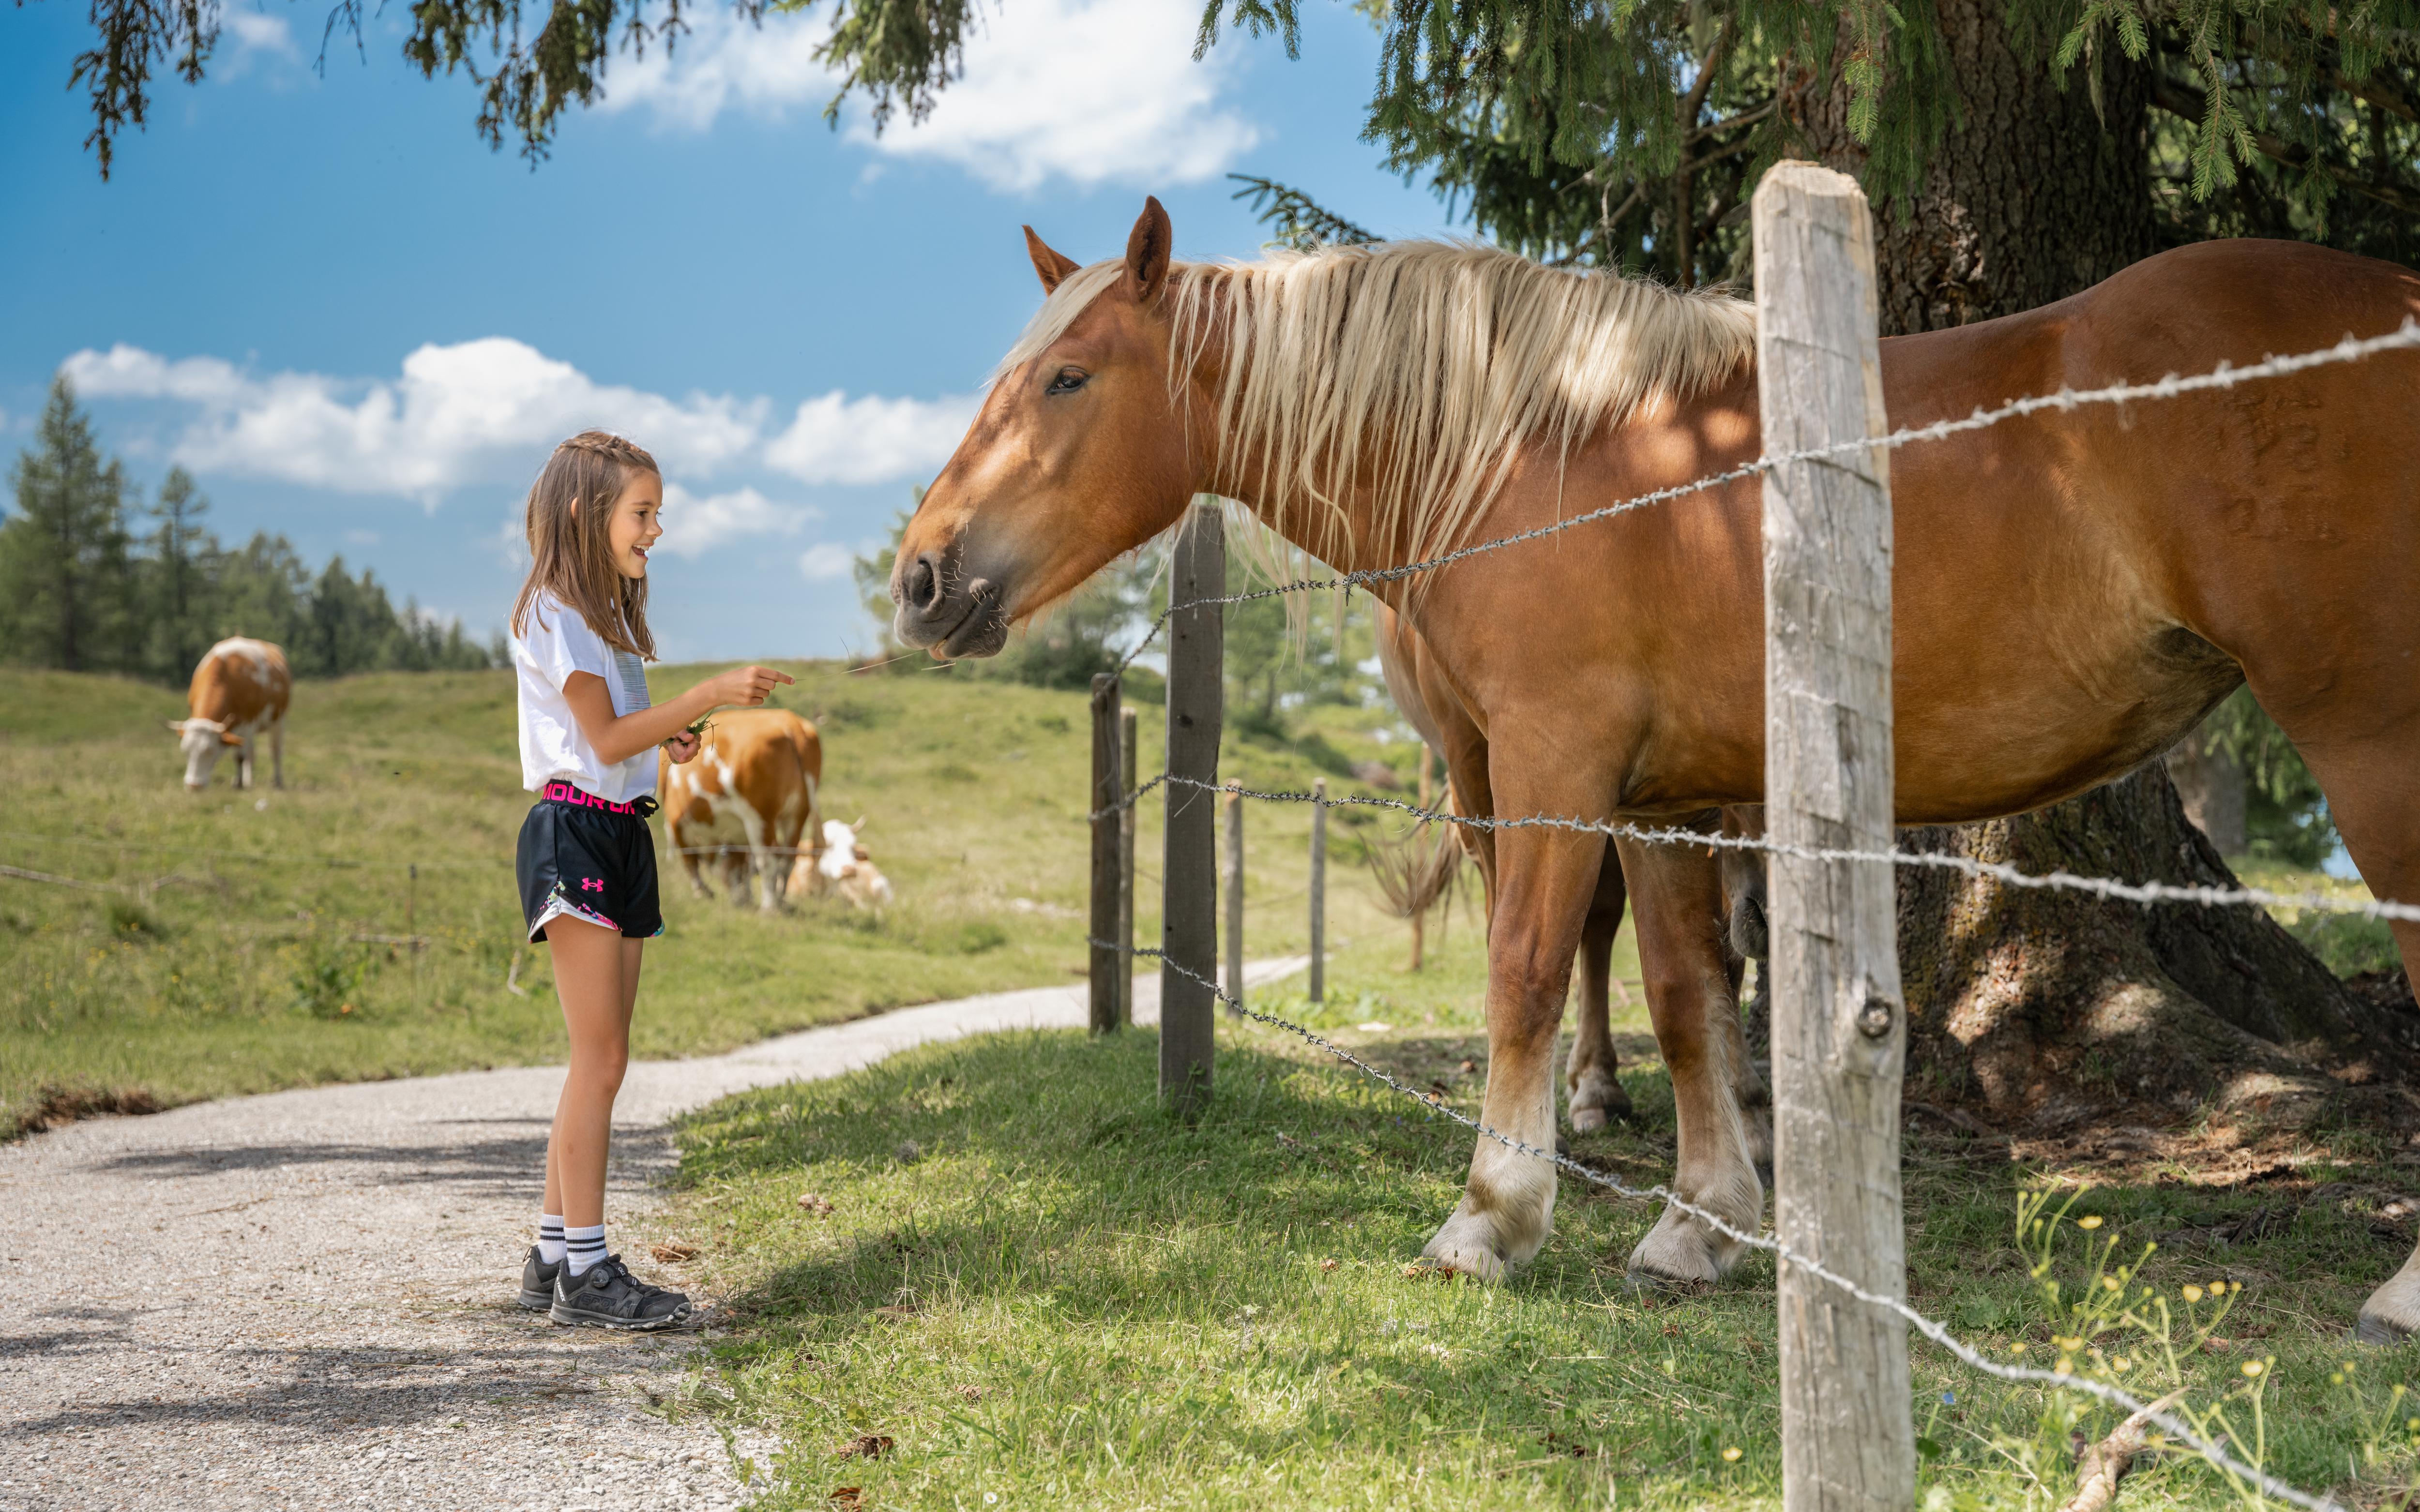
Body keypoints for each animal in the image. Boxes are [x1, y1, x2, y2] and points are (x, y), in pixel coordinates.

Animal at [169, 638, 291, 791]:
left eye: (209, 750)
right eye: (185, 751)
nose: (194, 786)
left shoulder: (247, 724)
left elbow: (240, 757)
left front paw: (239, 784)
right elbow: (241, 756)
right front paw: (239, 781)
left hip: (278, 720)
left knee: (275, 751)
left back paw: (277, 781)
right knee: (251, 754)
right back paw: (249, 780)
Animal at [658, 707, 823, 912]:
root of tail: (791, 724)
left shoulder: (676, 822)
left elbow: (691, 861)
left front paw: (703, 892)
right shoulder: (738, 834)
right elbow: (741, 866)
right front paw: (745, 897)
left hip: (760, 816)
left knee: (768, 859)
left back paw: (769, 907)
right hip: (797, 814)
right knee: (788, 859)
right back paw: (782, 902)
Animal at [892, 198, 2420, 1338]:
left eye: (1068, 378)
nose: (919, 577)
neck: (1544, 452)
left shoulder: (1552, 770)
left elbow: (1521, 971)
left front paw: (1491, 1216)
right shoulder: (1667, 805)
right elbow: (1690, 1002)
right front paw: (1703, 1224)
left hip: (2372, 744)